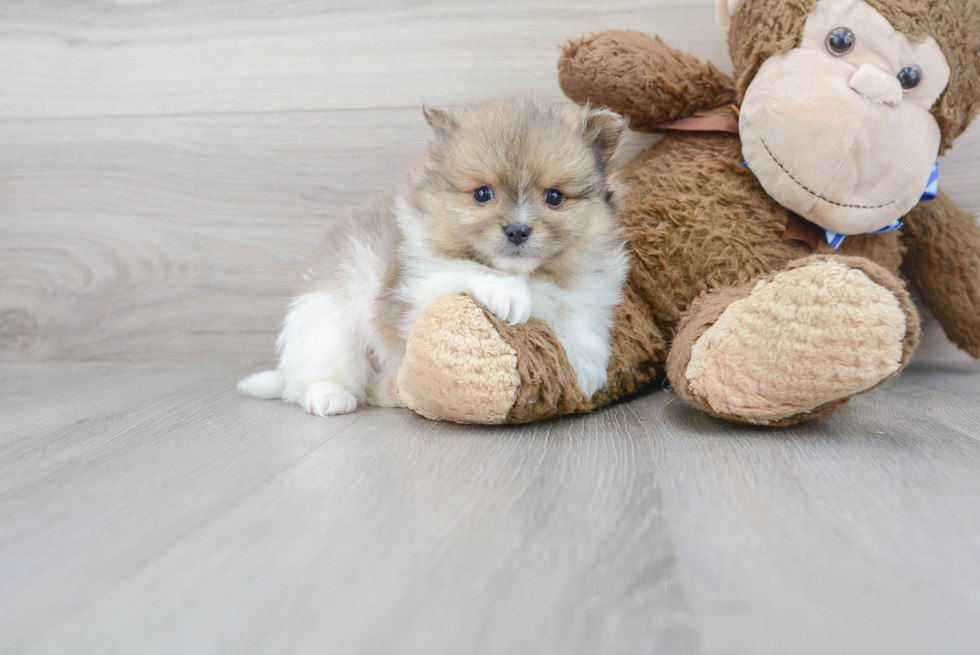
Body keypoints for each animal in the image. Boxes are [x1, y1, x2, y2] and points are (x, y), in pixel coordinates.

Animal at [241, 95, 632, 418]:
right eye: (483, 194)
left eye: (554, 197)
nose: (518, 230)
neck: (532, 275)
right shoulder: (416, 285)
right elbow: (467, 268)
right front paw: (509, 293)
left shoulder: (590, 291)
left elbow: (581, 322)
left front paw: (586, 368)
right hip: (330, 325)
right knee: (312, 379)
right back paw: (328, 396)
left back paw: (393, 391)